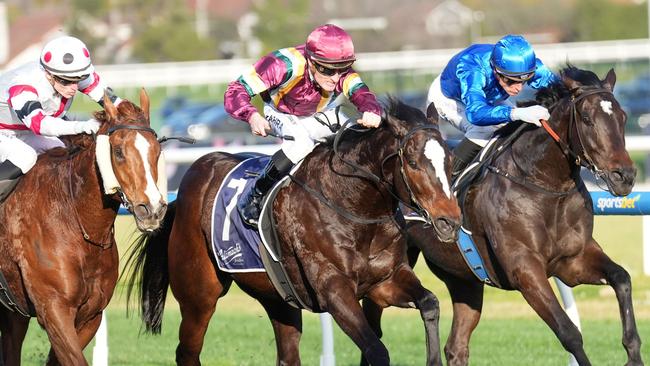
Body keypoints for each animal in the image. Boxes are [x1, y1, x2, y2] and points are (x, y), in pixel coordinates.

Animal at [125, 98, 460, 364]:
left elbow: (430, 303)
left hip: (276, 297)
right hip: (199, 295)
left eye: (450, 159)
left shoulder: (384, 281)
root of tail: (185, 187)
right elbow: (377, 350)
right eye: (413, 162)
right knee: (187, 352)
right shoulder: (334, 291)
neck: (352, 204)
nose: (450, 221)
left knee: (287, 355)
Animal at [362, 66, 640, 366]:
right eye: (587, 119)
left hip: (463, 280)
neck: (543, 183)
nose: (624, 176)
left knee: (456, 346)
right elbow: (569, 332)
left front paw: (633, 354)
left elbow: (622, 278)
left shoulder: (573, 260)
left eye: (623, 117)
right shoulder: (525, 270)